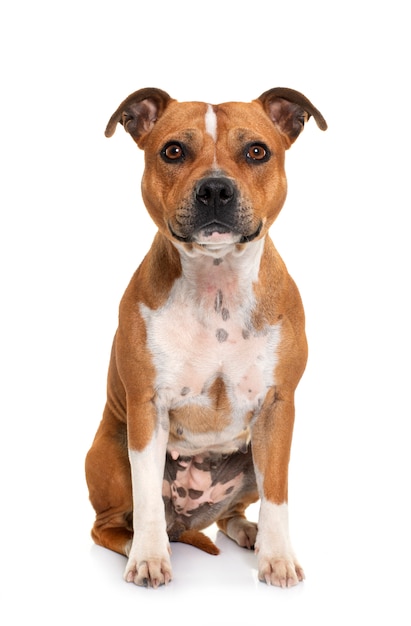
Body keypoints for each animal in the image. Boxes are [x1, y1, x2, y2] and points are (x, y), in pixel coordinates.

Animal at [86, 85, 328, 588]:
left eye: (257, 151)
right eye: (173, 151)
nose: (215, 188)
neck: (217, 286)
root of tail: (188, 522)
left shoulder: (278, 409)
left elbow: (278, 497)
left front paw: (277, 558)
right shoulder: (146, 408)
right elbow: (146, 500)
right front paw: (149, 558)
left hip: (253, 454)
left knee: (232, 512)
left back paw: (247, 532)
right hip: (114, 449)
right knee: (112, 524)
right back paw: (136, 546)